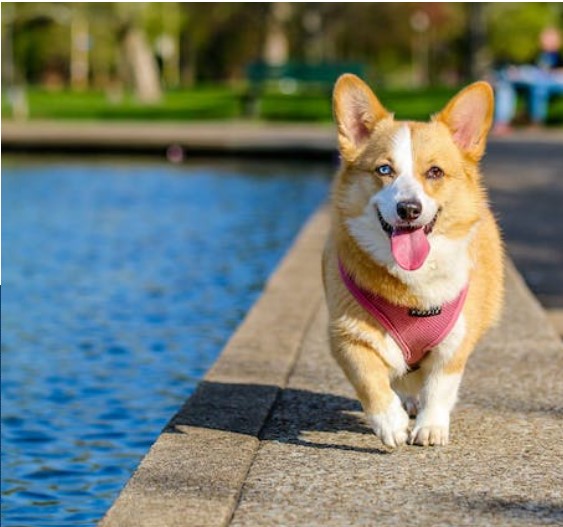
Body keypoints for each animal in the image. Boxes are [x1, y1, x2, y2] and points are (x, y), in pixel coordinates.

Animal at [324, 76, 504, 450]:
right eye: (384, 169)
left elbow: (440, 386)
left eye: (435, 172)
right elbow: (370, 380)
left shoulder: (455, 342)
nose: (409, 209)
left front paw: (431, 427)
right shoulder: (346, 335)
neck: (412, 283)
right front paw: (390, 422)